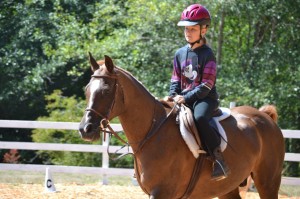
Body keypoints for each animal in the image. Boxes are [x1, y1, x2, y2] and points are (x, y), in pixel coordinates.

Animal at [78, 53, 284, 199]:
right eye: (87, 90)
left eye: (105, 91)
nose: (85, 129)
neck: (153, 133)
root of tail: (265, 117)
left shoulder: (162, 193)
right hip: (228, 188)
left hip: (268, 183)